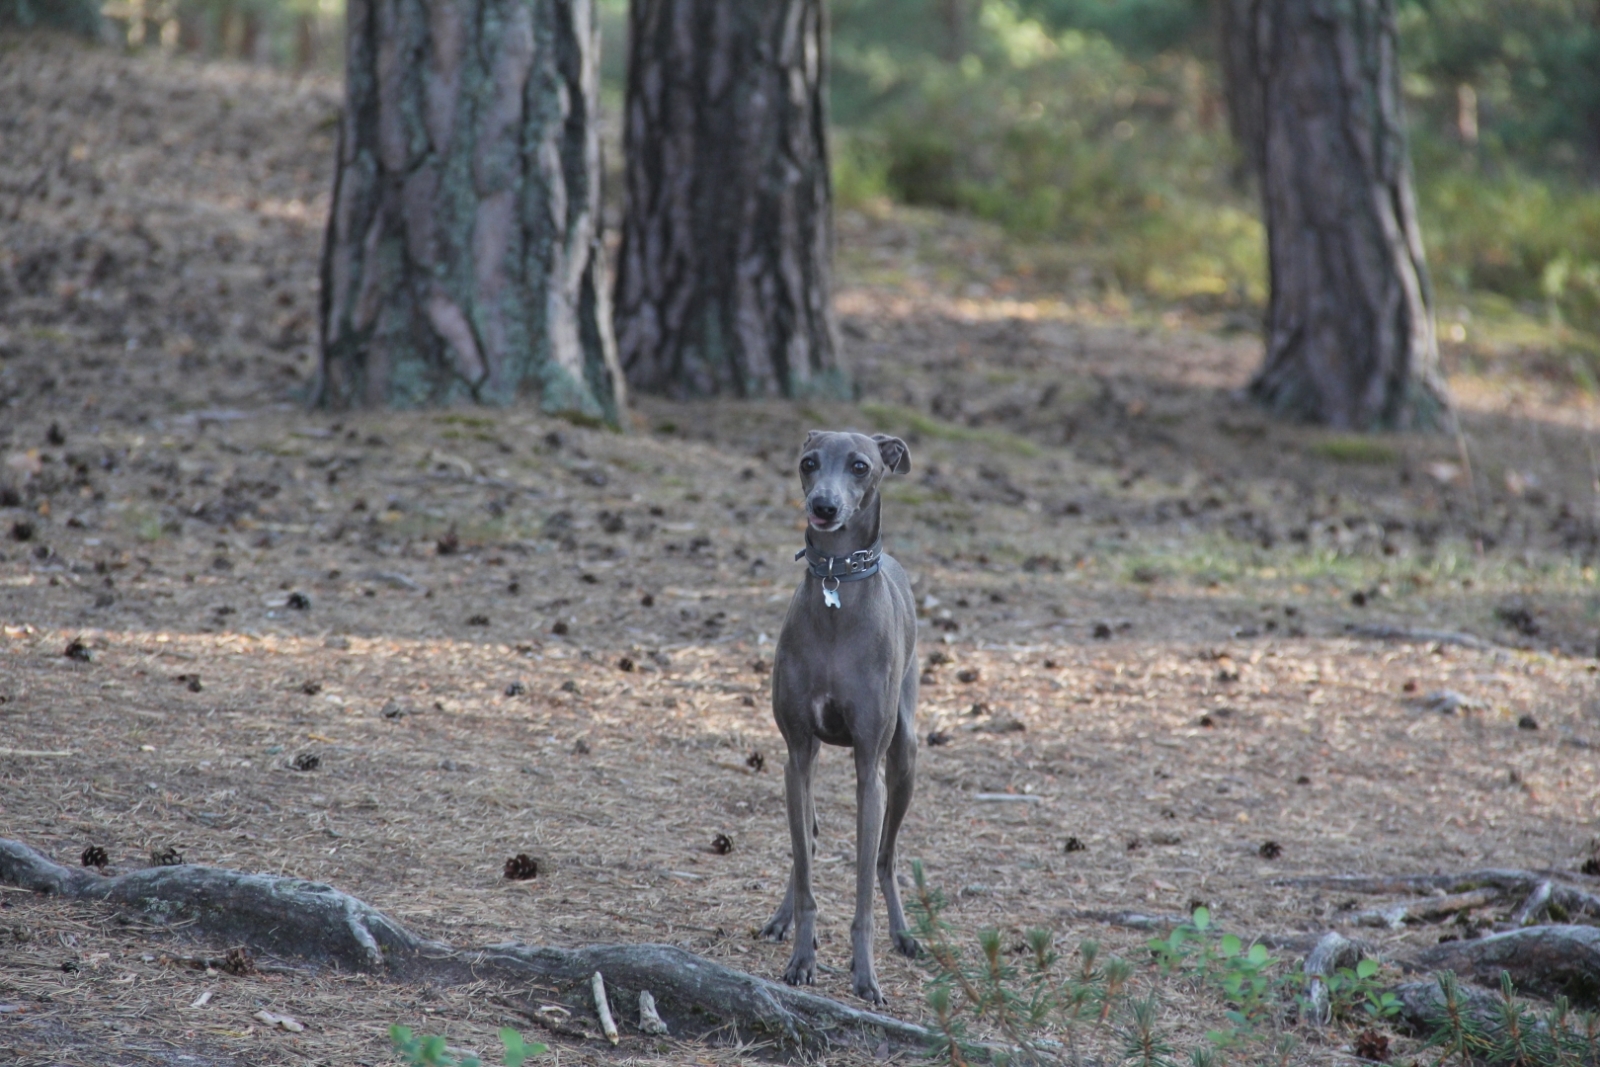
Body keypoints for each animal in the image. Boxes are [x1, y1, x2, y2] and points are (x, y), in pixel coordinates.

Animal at [764, 428, 928, 1004]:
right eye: (808, 463)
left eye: (860, 465)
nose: (824, 507)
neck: (837, 588)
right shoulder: (796, 753)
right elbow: (806, 869)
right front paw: (801, 959)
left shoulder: (868, 769)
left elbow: (862, 889)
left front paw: (866, 975)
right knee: (806, 842)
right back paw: (782, 918)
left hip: (903, 759)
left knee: (885, 858)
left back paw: (904, 934)